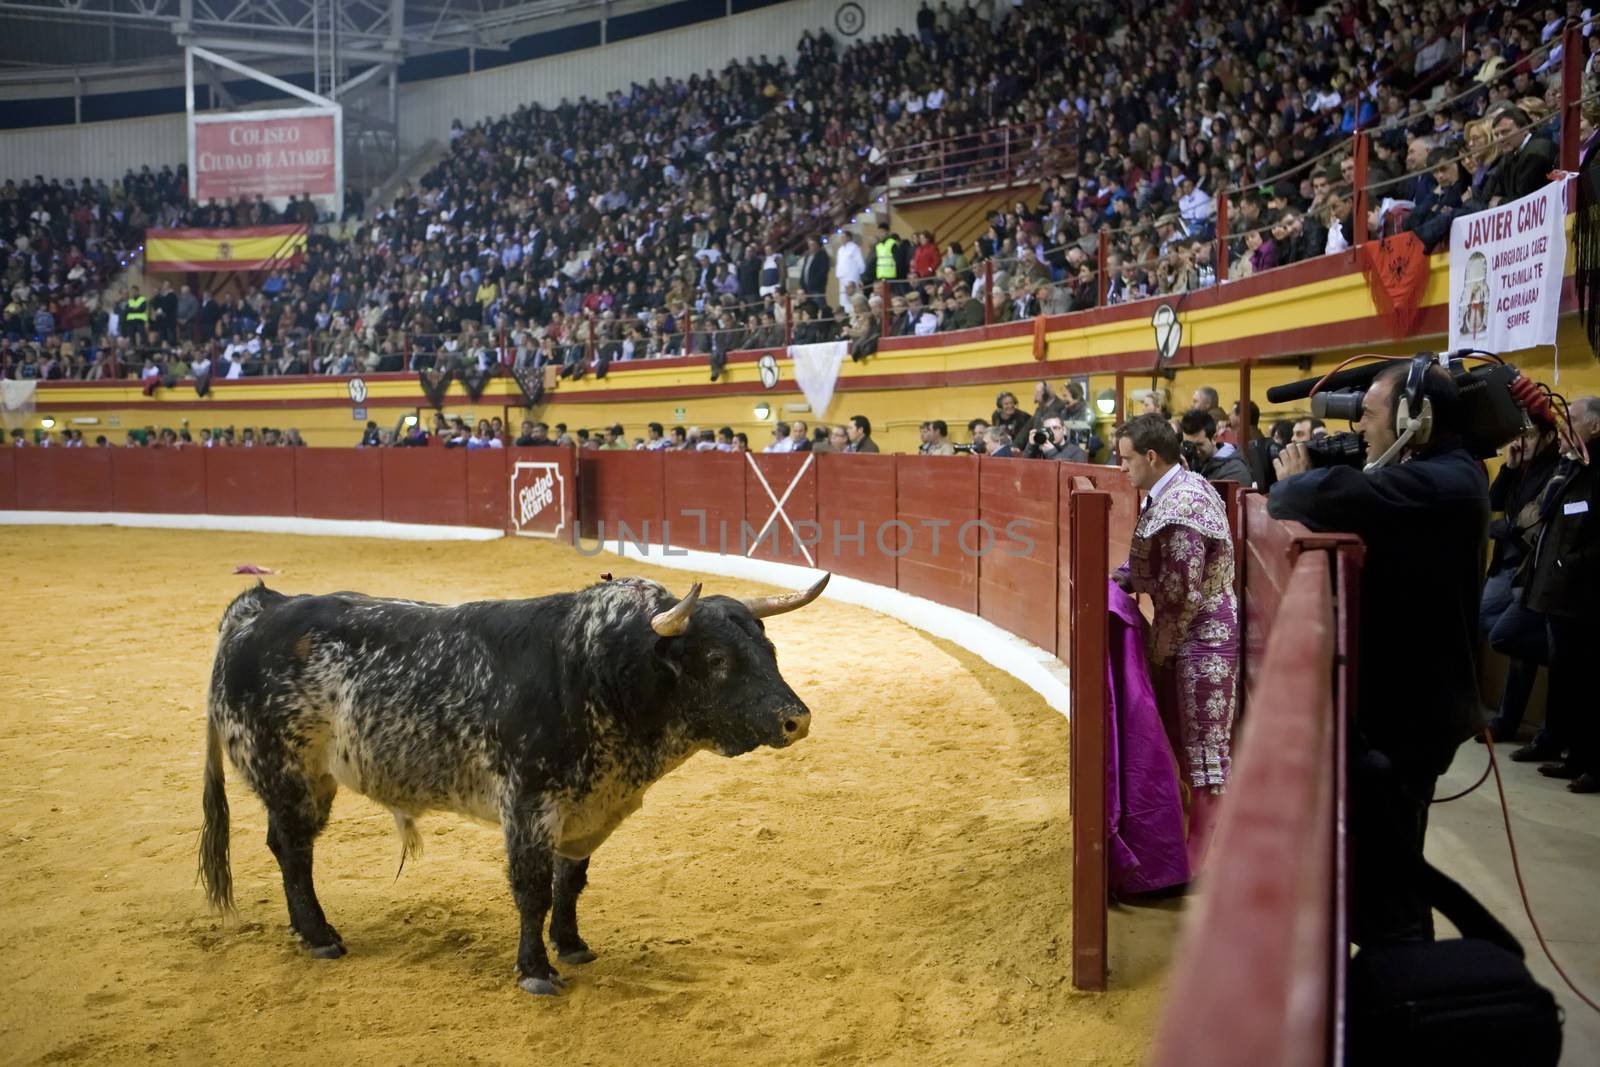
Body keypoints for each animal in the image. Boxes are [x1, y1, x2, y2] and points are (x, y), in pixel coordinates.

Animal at [198, 572, 825, 998]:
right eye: (717, 658)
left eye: (768, 649)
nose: (796, 720)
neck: (598, 671)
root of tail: (259, 606)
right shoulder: (528, 806)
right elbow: (532, 890)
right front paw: (536, 970)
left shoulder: (587, 808)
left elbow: (570, 884)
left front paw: (571, 946)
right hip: (289, 772)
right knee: (293, 850)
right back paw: (319, 934)